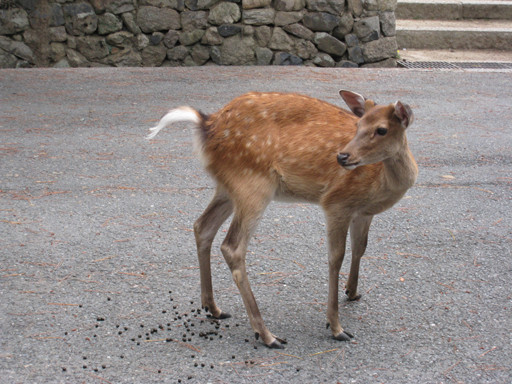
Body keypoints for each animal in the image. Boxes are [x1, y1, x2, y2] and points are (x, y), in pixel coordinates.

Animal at [146, 90, 418, 348]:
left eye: (381, 129)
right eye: (358, 125)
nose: (342, 157)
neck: (381, 181)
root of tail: (206, 124)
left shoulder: (363, 212)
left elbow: (360, 248)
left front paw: (352, 291)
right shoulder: (336, 202)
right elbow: (335, 258)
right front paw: (336, 327)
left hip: (228, 187)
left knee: (202, 226)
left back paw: (214, 308)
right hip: (253, 183)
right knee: (232, 246)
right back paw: (267, 335)